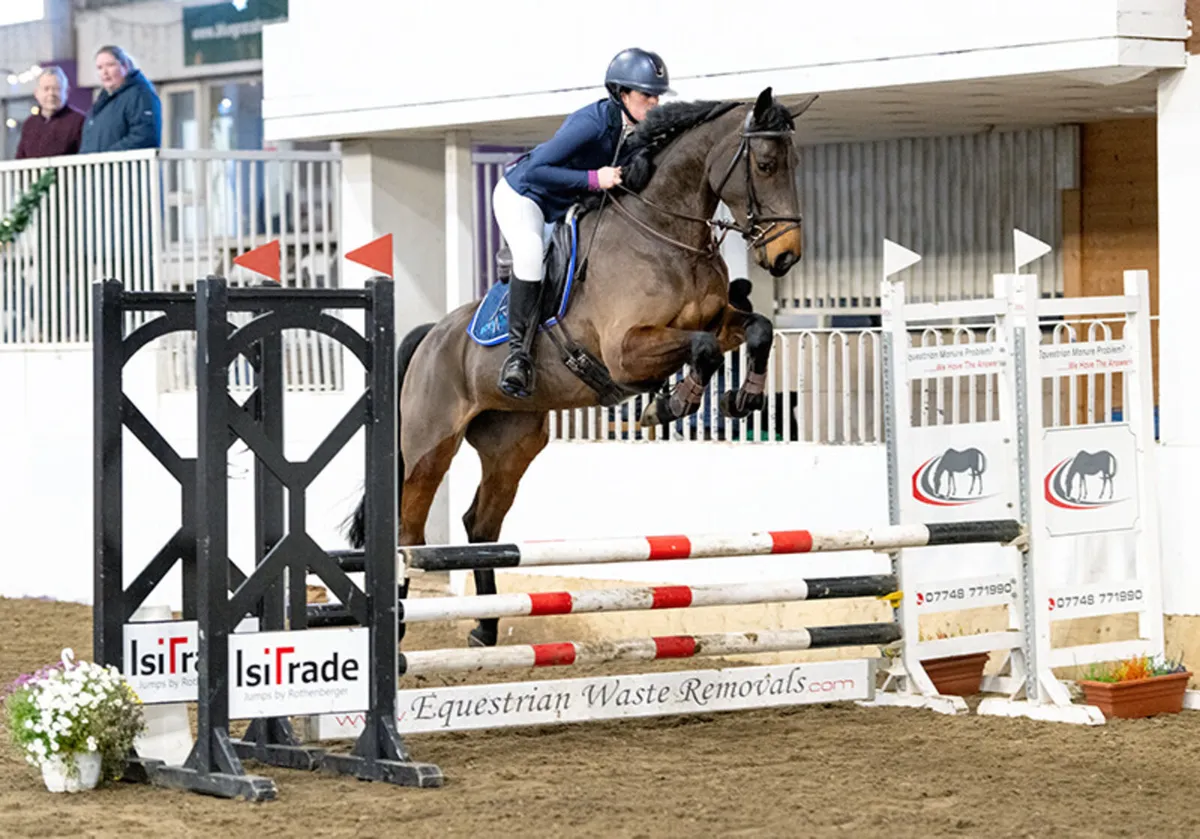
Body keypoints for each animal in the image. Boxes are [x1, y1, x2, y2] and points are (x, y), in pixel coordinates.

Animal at [345, 87, 807, 648]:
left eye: (793, 163)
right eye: (764, 164)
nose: (786, 256)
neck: (665, 233)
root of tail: (431, 335)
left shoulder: (720, 321)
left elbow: (756, 330)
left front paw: (746, 397)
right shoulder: (625, 350)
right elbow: (703, 350)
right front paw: (671, 404)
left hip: (513, 445)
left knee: (481, 526)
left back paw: (485, 629)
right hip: (430, 445)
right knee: (409, 534)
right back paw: (401, 631)